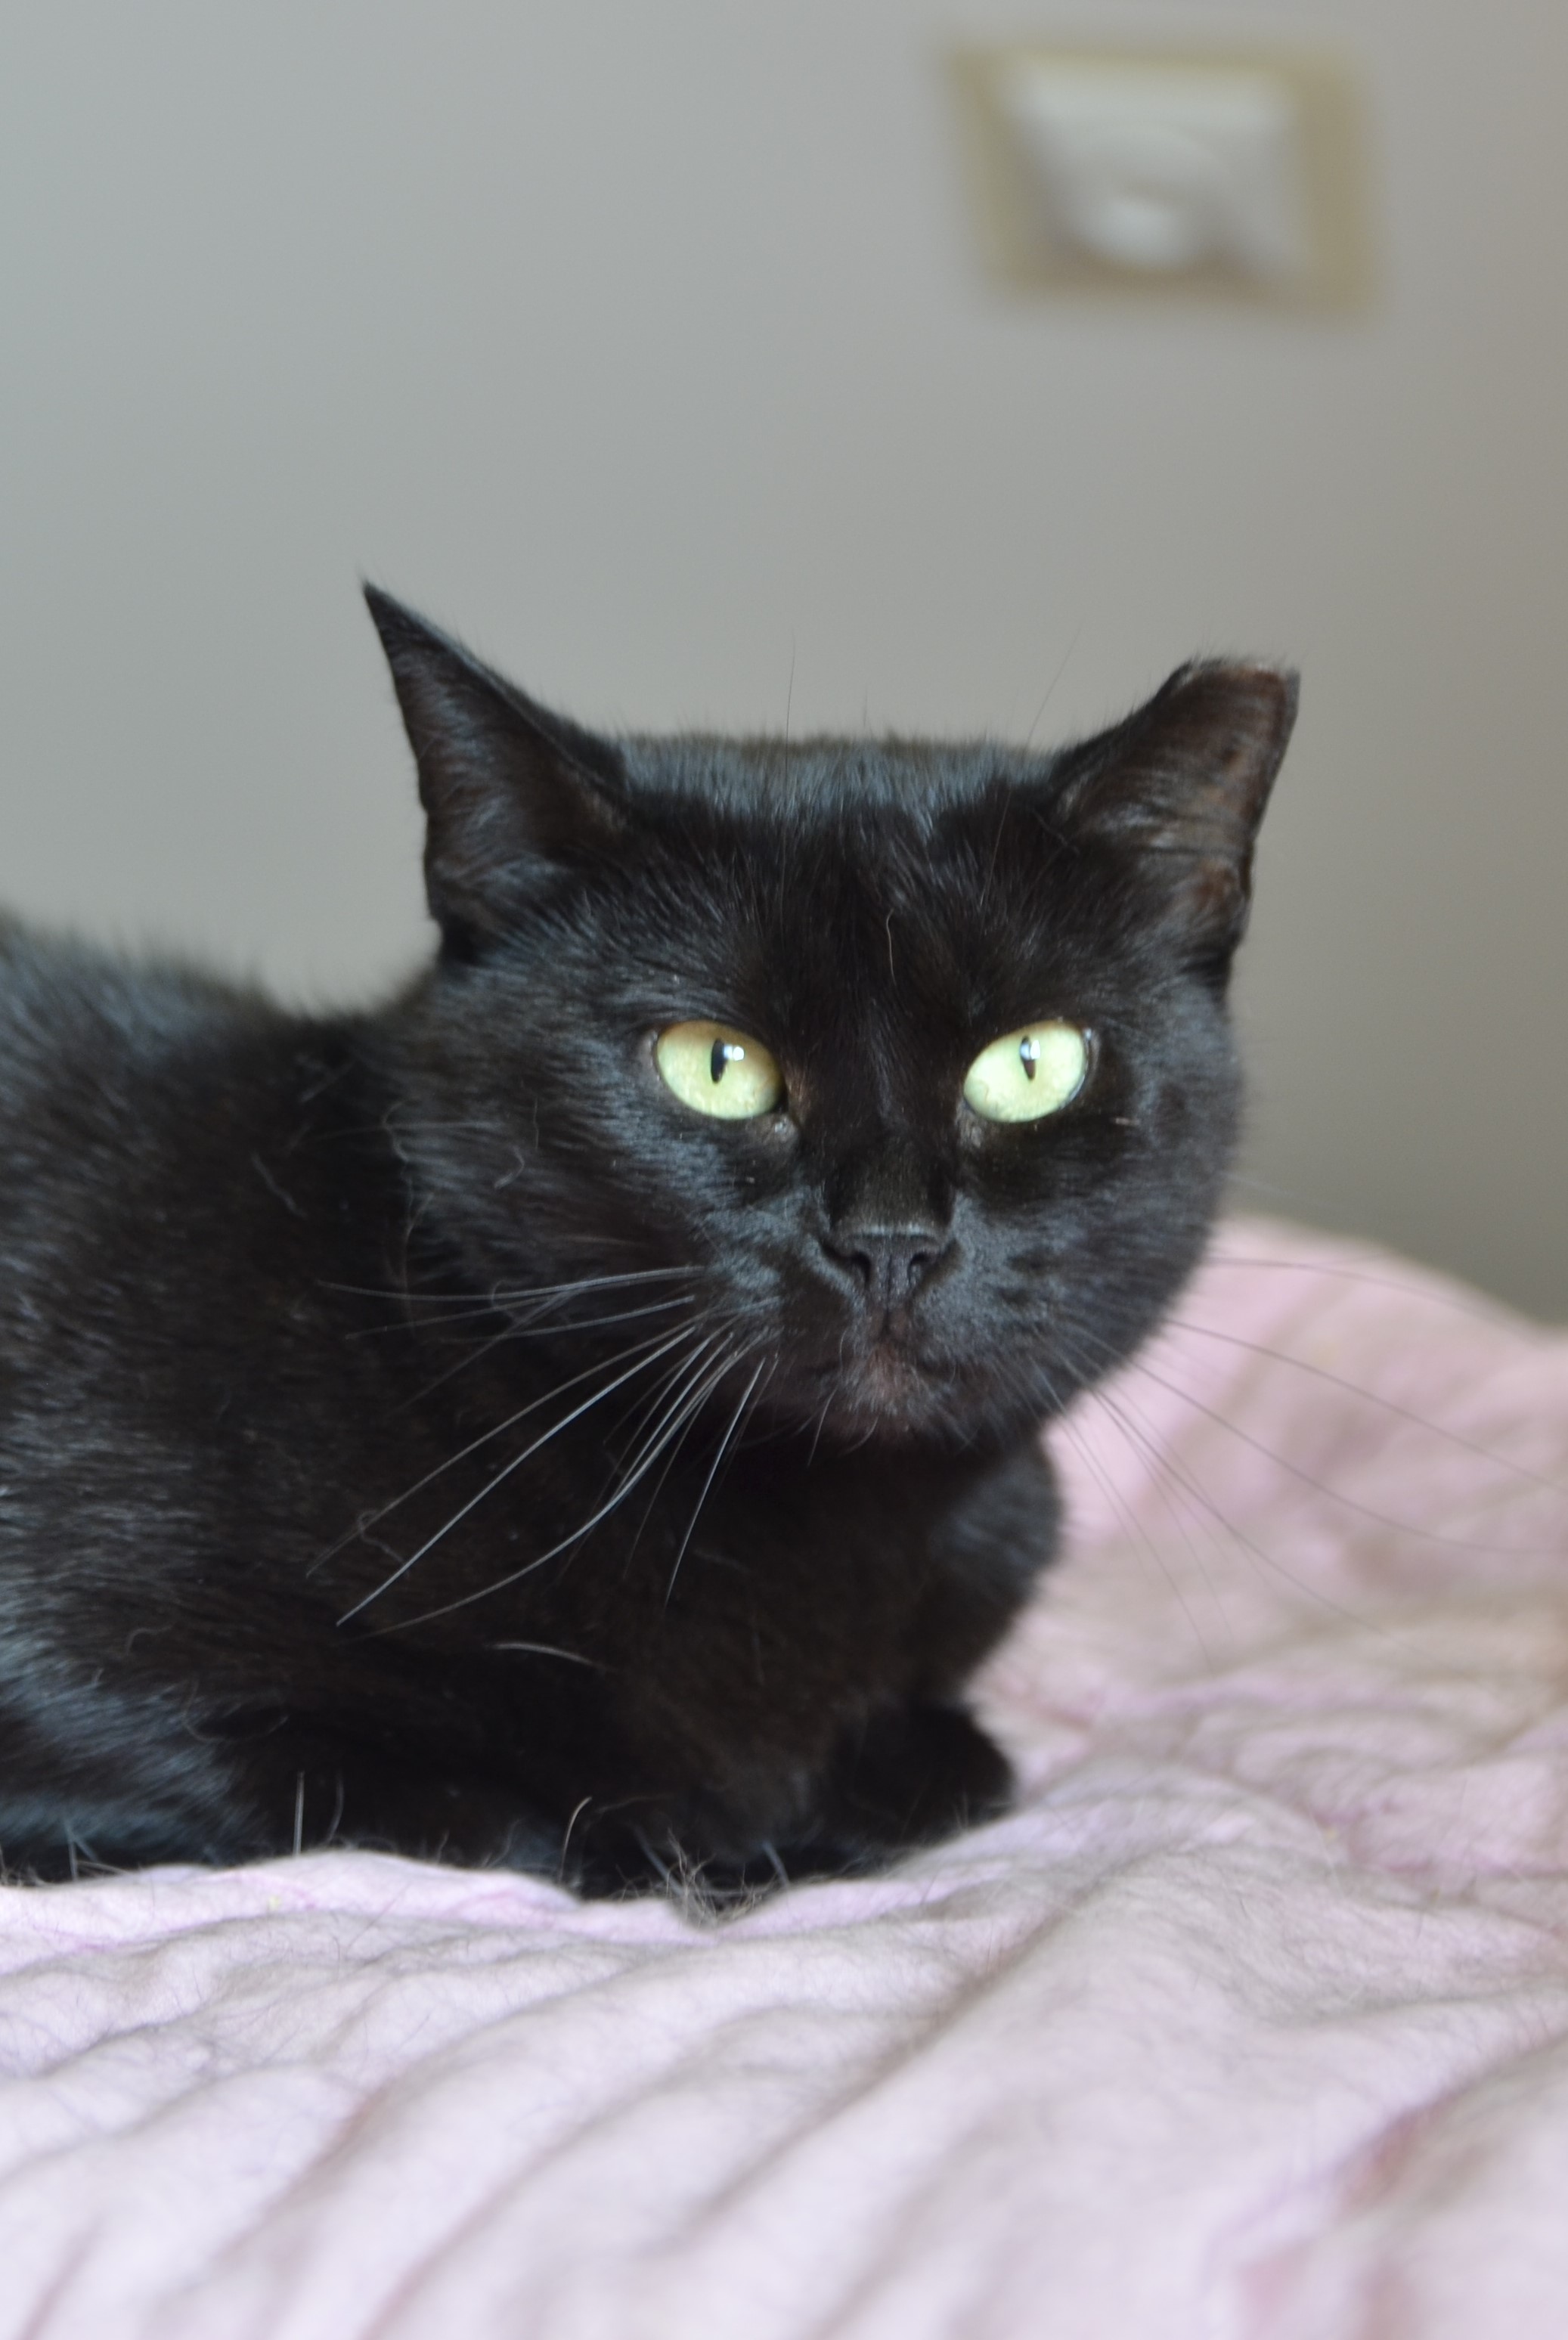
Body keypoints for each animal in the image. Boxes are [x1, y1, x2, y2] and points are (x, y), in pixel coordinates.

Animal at [0, 590, 1296, 1893]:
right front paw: (739, 1844)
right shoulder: (91, 1682)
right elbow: (520, 1817)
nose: (888, 1238)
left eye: (1029, 1063)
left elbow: (959, 1768)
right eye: (713, 1064)